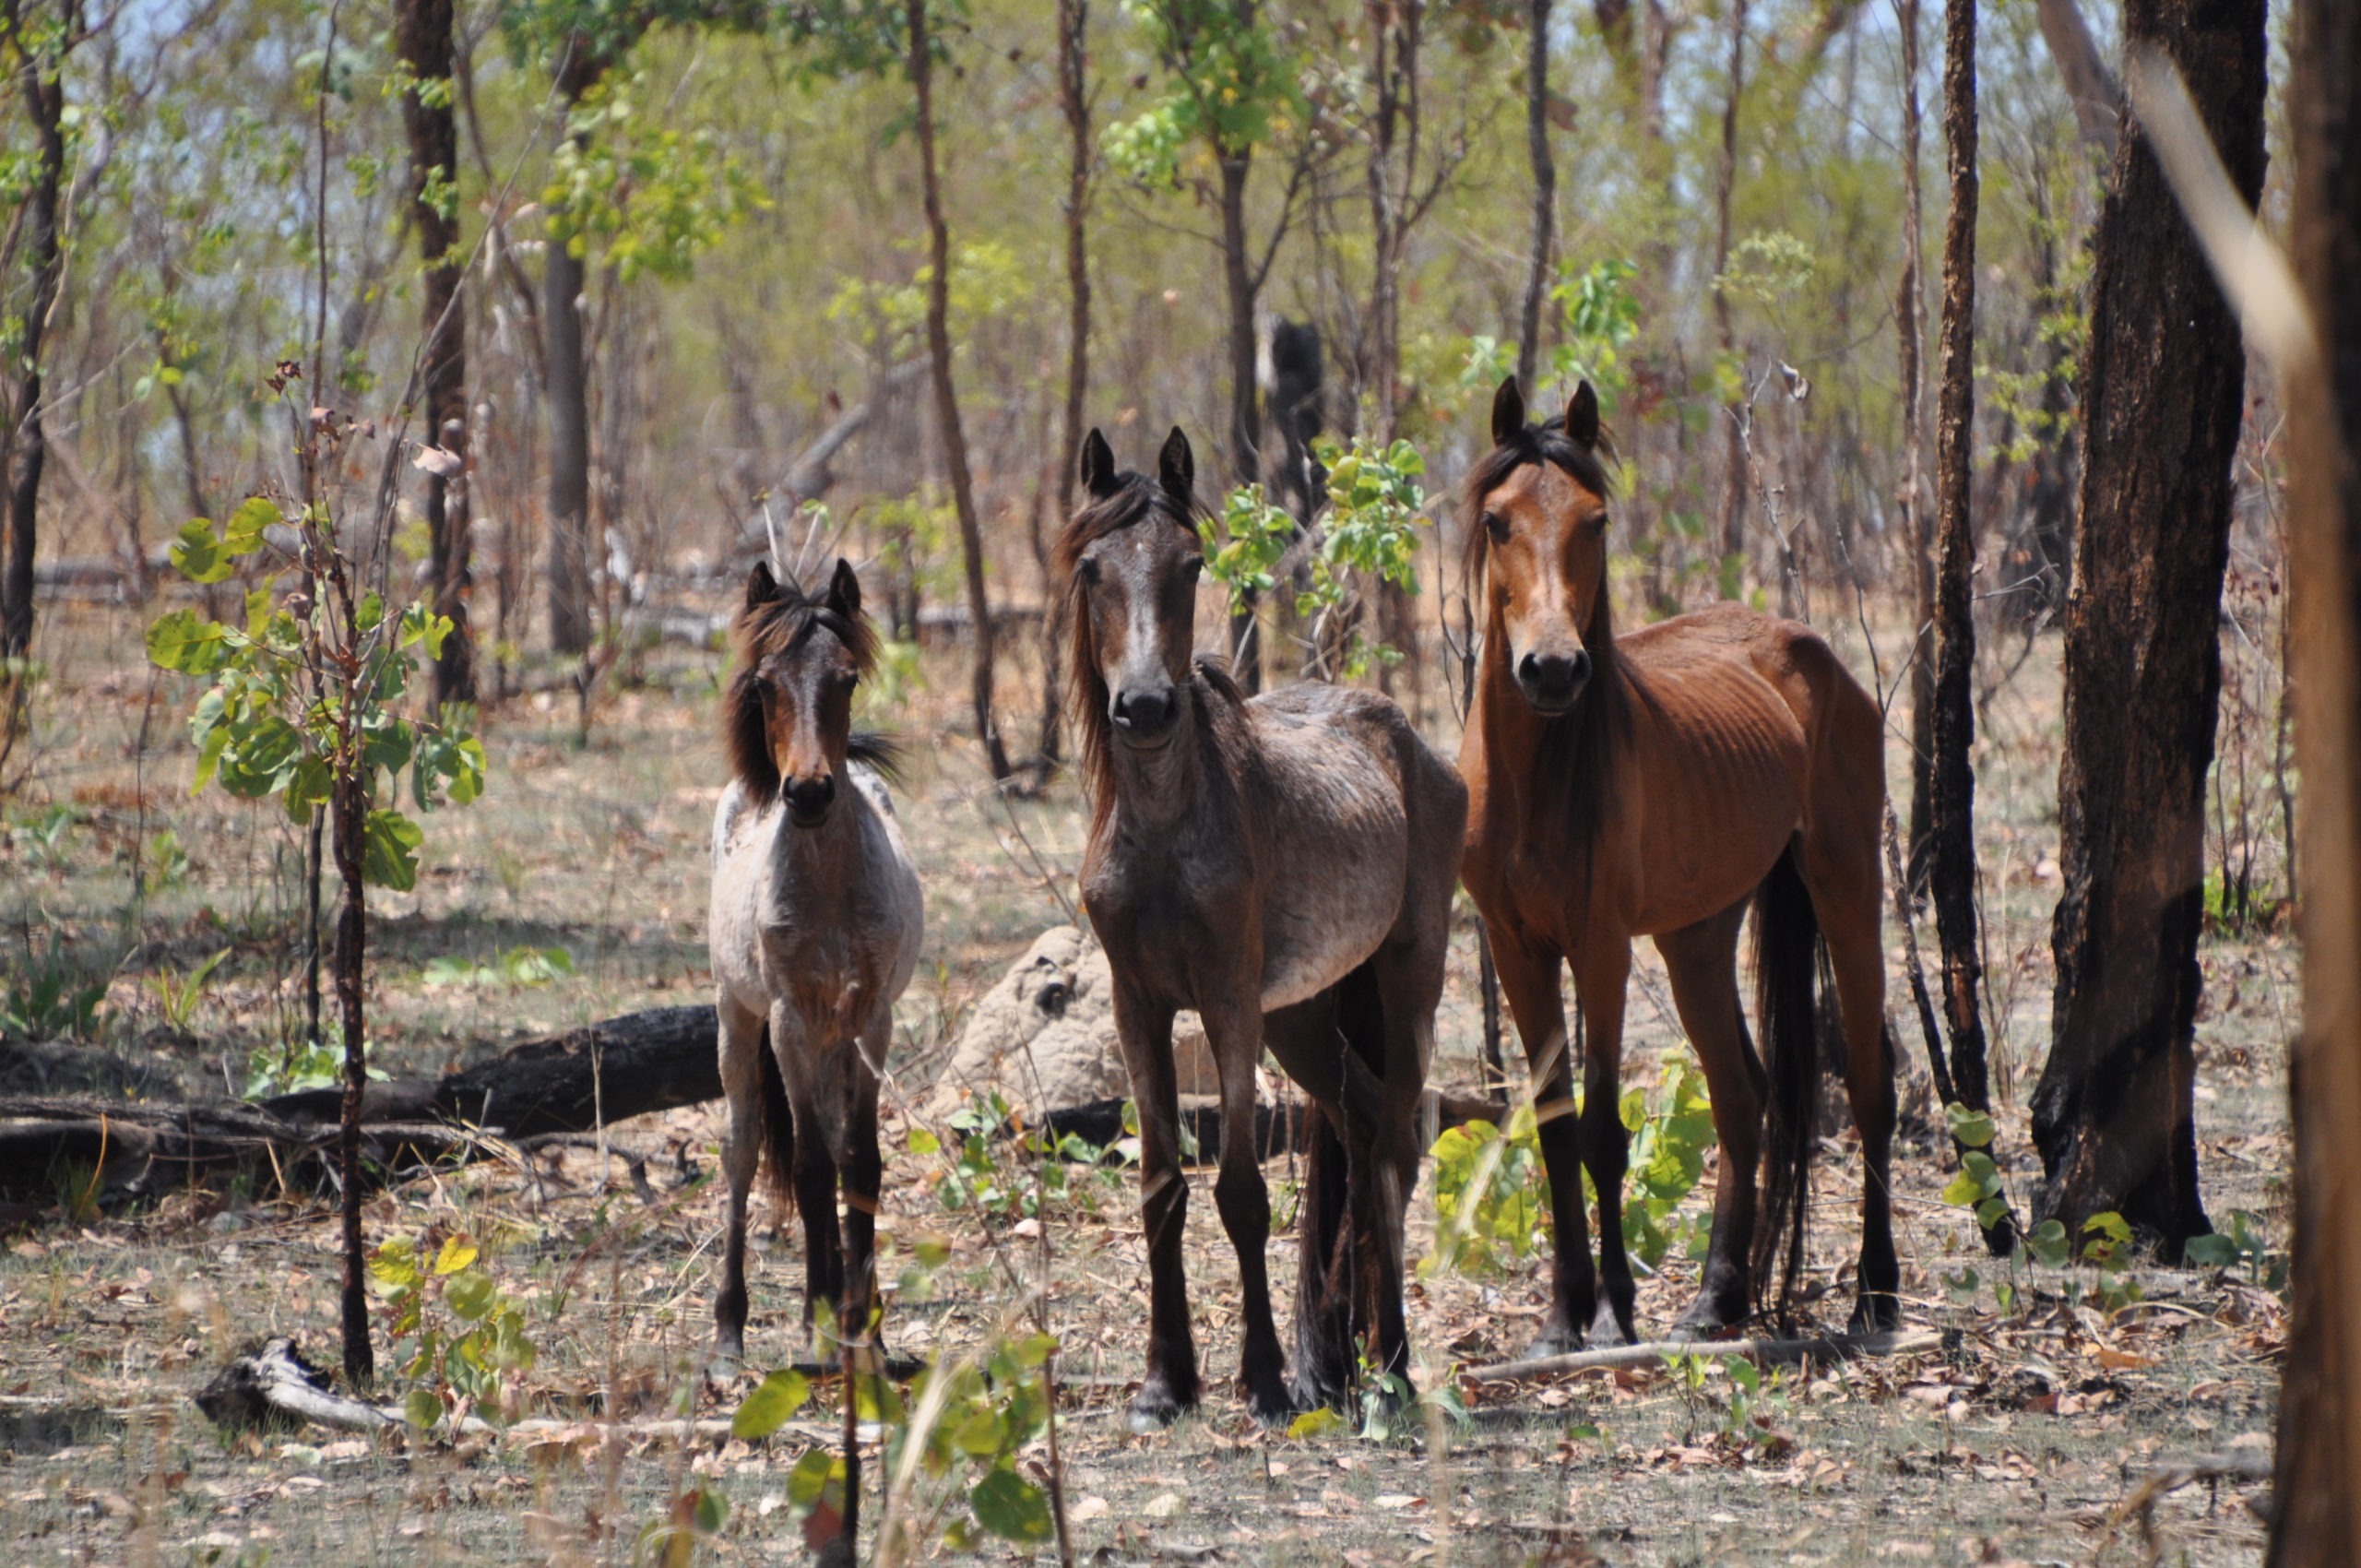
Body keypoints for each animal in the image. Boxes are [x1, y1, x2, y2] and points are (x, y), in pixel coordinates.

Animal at [1062, 422, 1464, 1426]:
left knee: (1393, 1142)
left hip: (1406, 982)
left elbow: (1241, 1191)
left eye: (1191, 562)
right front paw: (1163, 1383)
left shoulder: (1229, 1003)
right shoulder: (1138, 1005)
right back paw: (1344, 1363)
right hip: (1305, 1016)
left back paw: (1390, 1365)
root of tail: (1405, 734)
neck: (1166, 827)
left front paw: (1266, 1380)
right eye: (1092, 566)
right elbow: (1161, 1186)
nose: (1144, 707)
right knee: (1360, 1123)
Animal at [1453, 377, 1898, 1350]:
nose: (1552, 670)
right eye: (1499, 521)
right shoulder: (1516, 949)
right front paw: (1562, 1317)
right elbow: (1554, 1130)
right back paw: (1716, 1299)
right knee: (1741, 1095)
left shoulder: (1601, 948)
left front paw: (1614, 1312)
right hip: (1697, 937)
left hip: (1846, 889)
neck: (1535, 782)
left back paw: (1876, 1292)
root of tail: (1808, 649)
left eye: (1596, 521)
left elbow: (1602, 1132)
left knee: (1871, 1086)